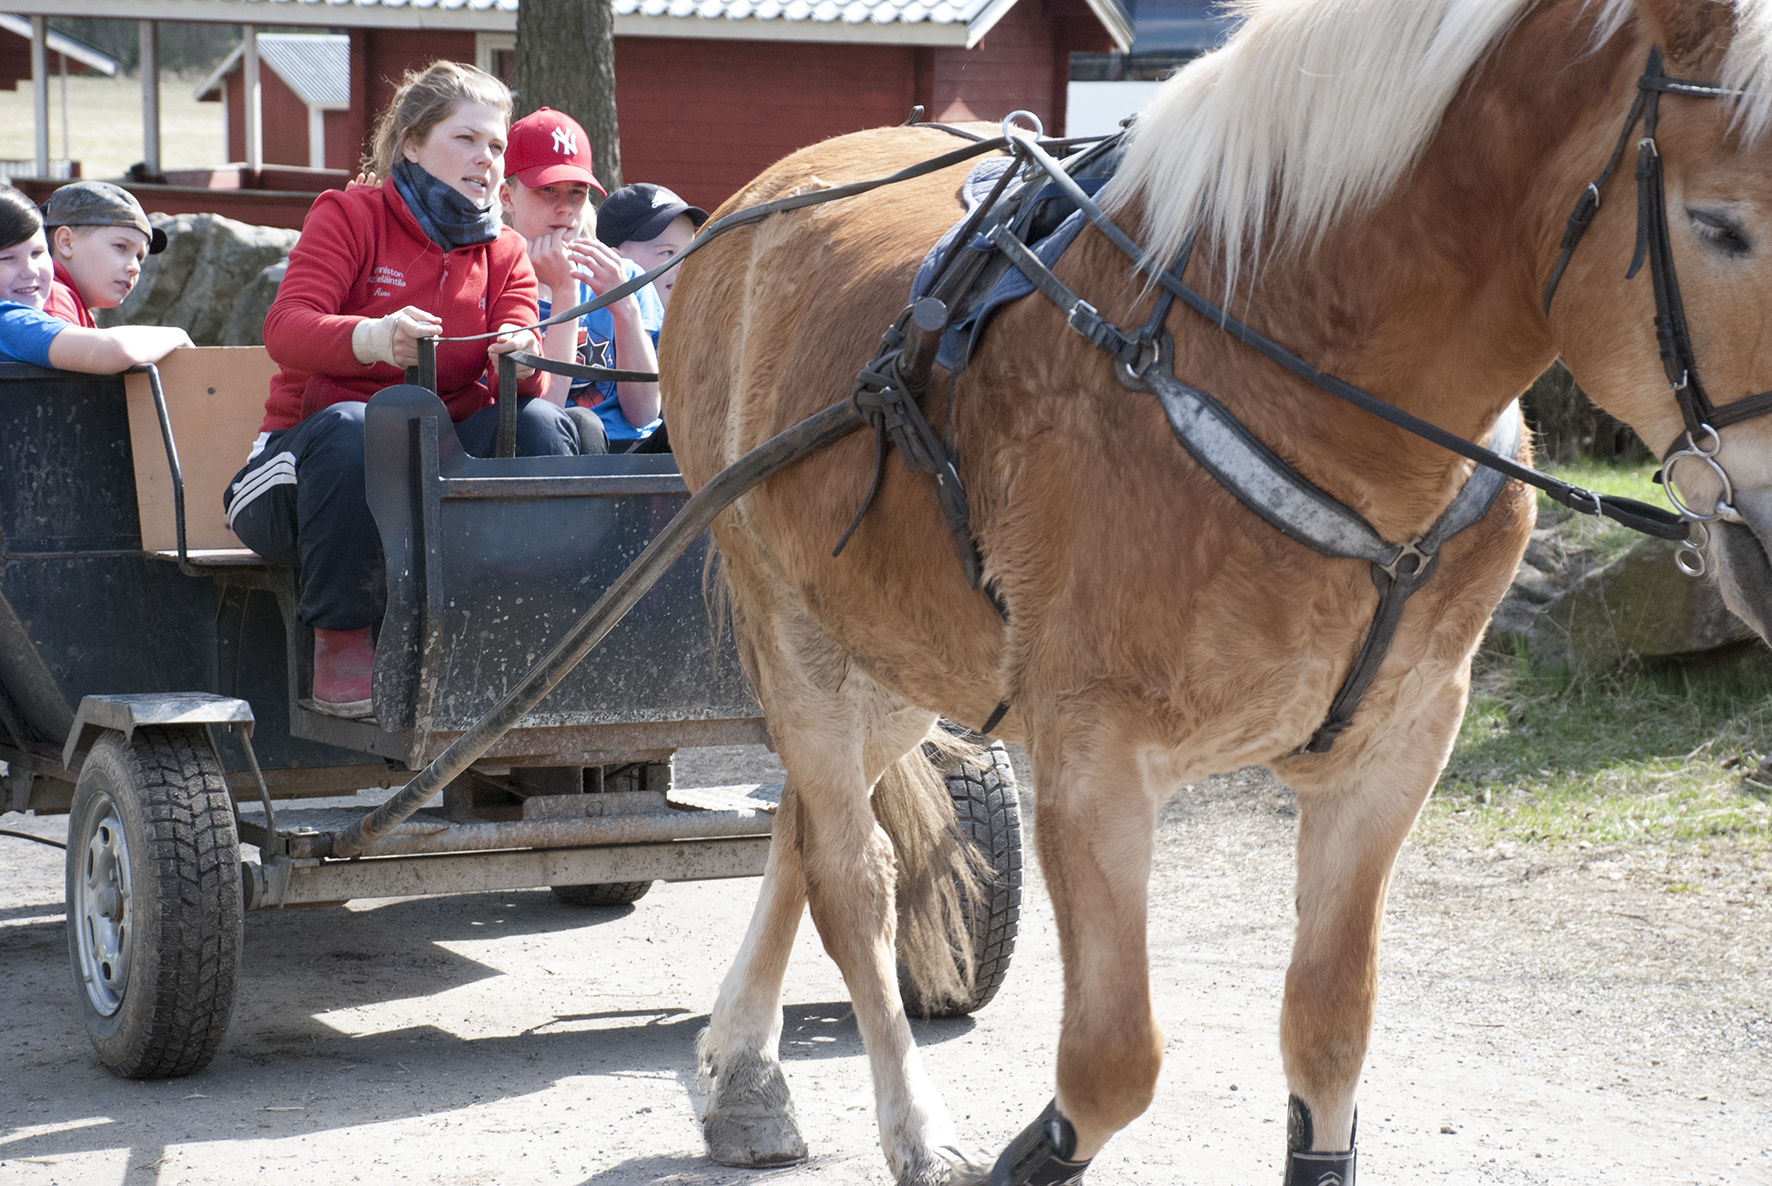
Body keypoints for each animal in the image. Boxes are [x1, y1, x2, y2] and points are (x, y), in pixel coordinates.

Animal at [661, 0, 1772, 1181]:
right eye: (1719, 227)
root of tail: (753, 204)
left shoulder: (1393, 751)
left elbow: (1329, 1031)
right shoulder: (1094, 759)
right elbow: (1112, 1062)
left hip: (896, 652)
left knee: (800, 834)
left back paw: (744, 1072)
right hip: (793, 629)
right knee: (850, 877)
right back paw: (907, 1120)